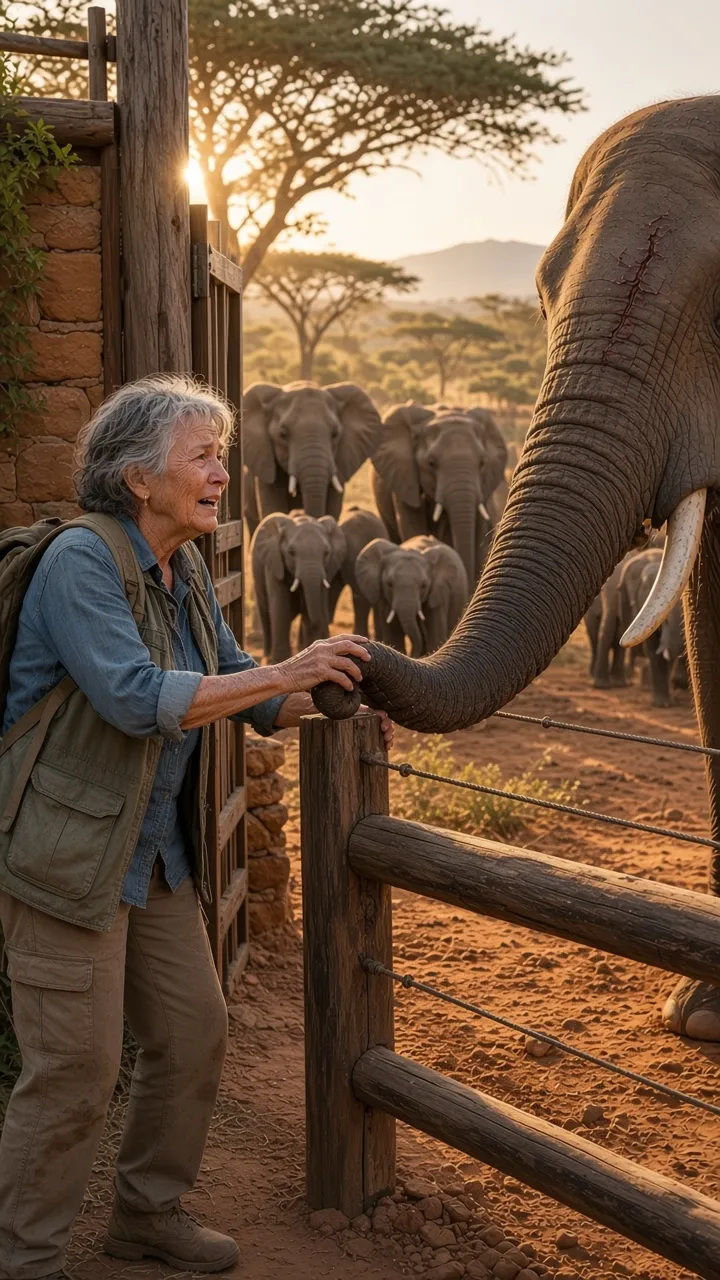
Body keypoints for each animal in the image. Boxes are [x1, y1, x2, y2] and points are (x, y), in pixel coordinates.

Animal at [250, 511, 346, 663]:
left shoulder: (326, 569)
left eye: (326, 553)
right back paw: (267, 658)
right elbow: (280, 607)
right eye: (291, 552)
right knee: (265, 614)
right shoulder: (275, 564)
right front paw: (279, 660)